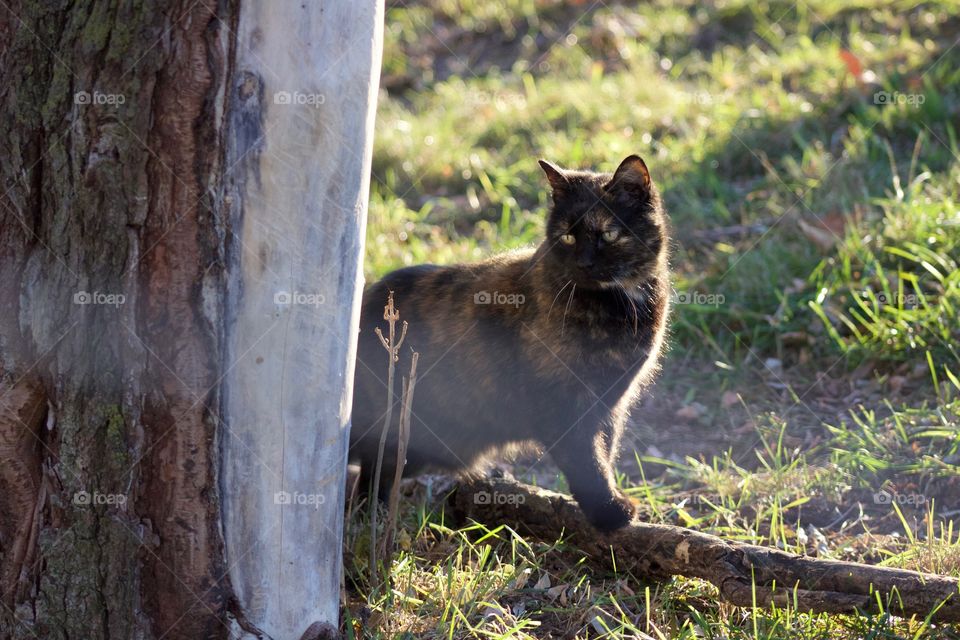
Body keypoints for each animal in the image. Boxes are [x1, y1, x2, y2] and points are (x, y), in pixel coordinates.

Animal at [348, 155, 672, 528]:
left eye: (608, 233)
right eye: (567, 237)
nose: (584, 263)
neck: (619, 305)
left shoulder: (610, 404)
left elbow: (604, 449)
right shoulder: (562, 403)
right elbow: (587, 459)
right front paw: (609, 511)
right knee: (372, 476)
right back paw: (372, 522)